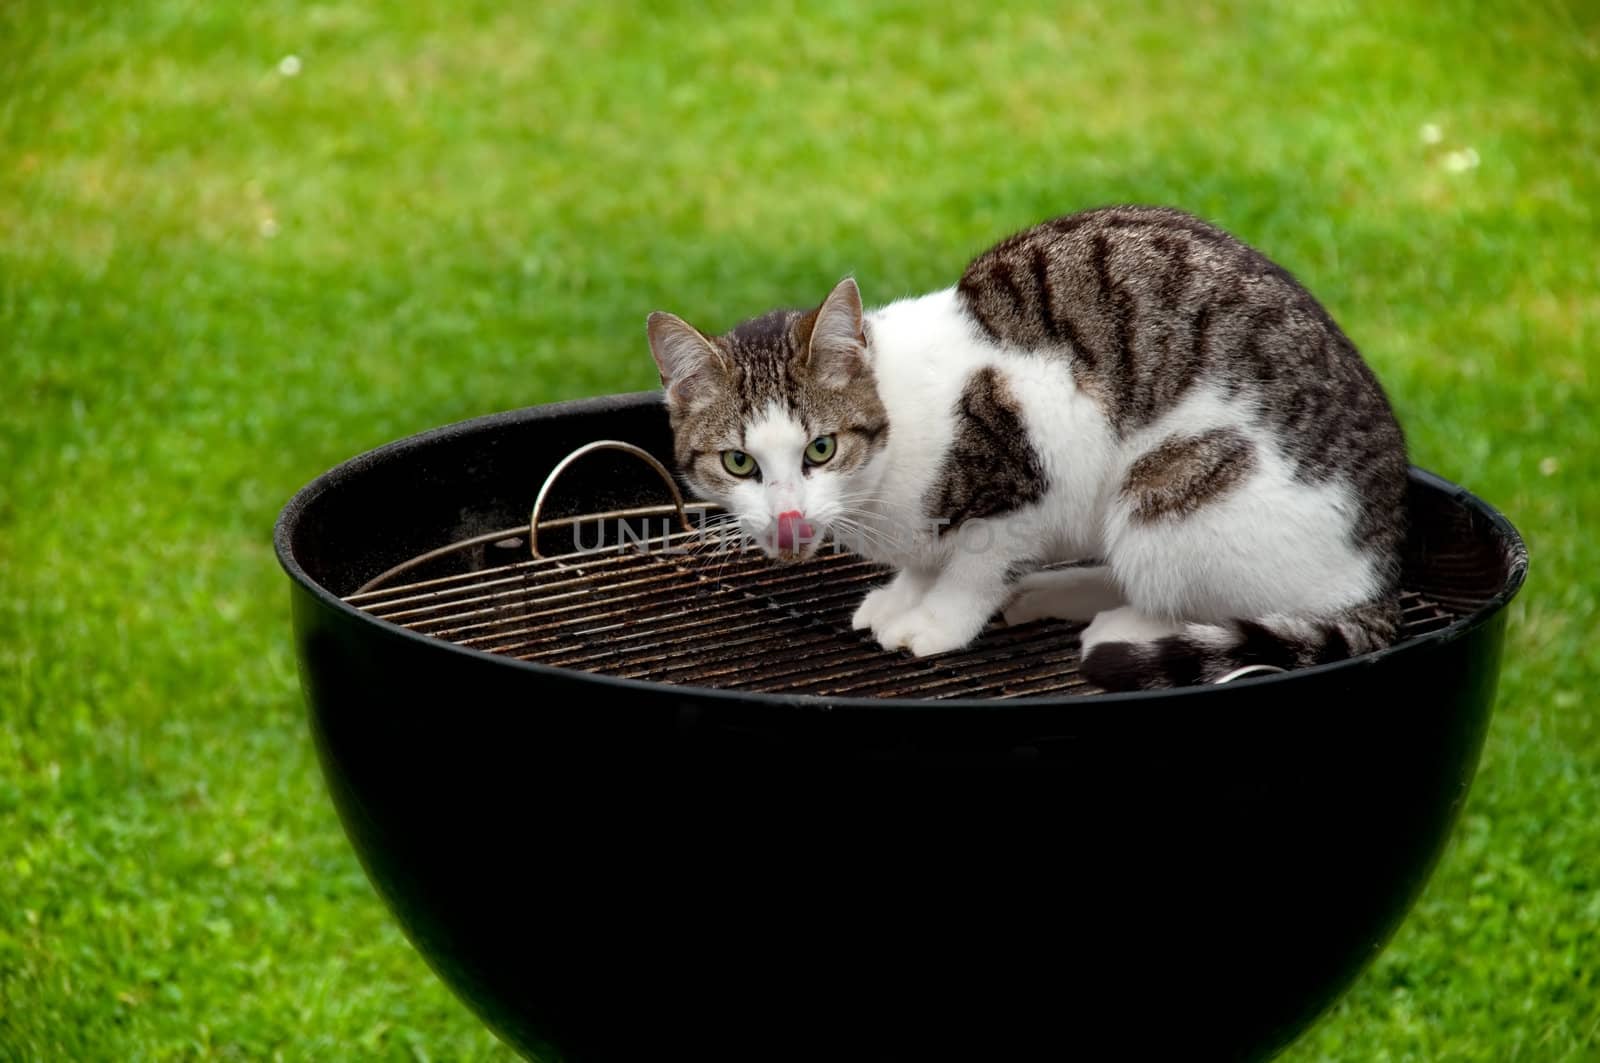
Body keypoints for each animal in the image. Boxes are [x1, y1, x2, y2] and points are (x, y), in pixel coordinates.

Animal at [643, 206, 1408, 688]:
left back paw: (1125, 627)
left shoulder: (1037, 459)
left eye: (821, 450)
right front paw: (903, 594)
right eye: (739, 462)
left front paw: (937, 619)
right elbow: (927, 559)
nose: (789, 518)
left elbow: (978, 564)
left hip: (1172, 481)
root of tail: (1377, 583)